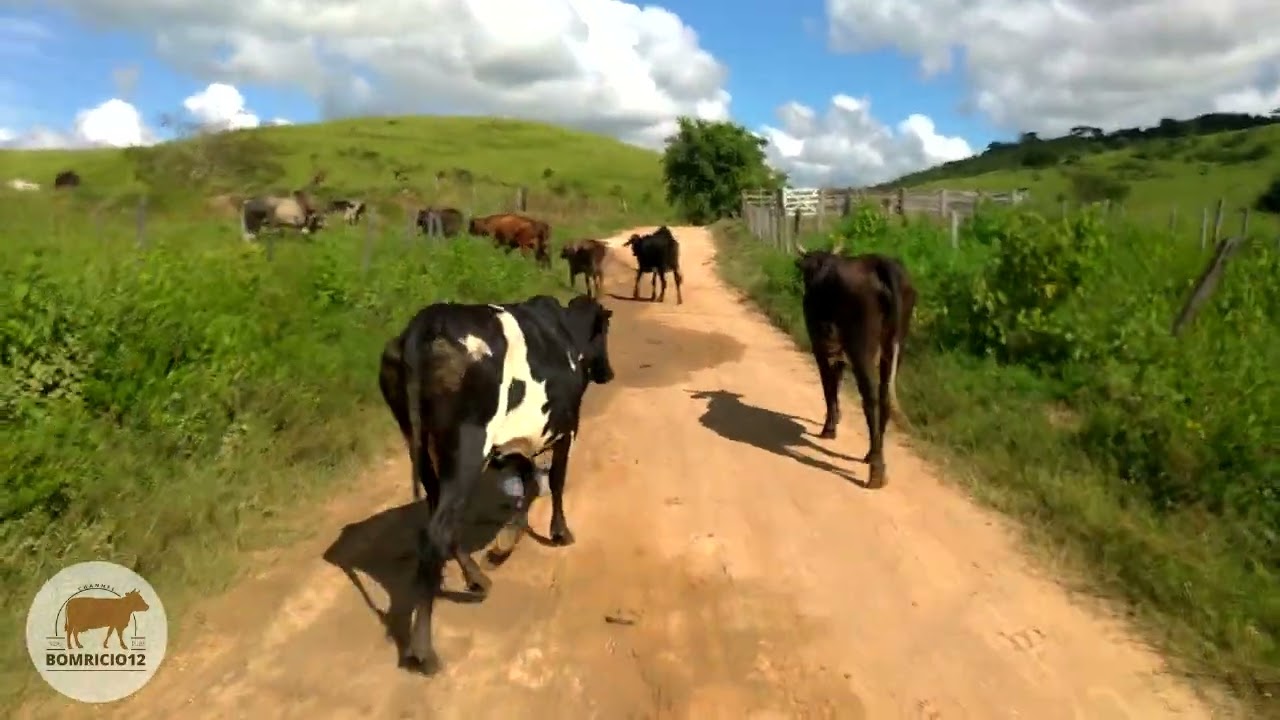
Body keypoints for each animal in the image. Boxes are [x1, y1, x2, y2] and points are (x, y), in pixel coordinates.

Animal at [377, 293, 616, 674]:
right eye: (605, 329)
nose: (608, 373)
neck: (565, 333)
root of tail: (423, 325)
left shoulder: (512, 447)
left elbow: (528, 485)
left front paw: (504, 545)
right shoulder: (567, 429)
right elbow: (555, 481)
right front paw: (559, 532)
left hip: (423, 448)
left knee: (440, 519)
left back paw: (477, 579)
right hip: (469, 448)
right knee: (436, 531)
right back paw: (423, 651)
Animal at [793, 240, 916, 489]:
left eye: (807, 271)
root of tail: (881, 263)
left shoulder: (820, 347)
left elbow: (829, 386)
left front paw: (829, 427)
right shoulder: (838, 352)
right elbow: (837, 381)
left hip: (861, 348)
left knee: (870, 398)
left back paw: (876, 470)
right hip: (895, 347)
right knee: (885, 396)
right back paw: (872, 453)